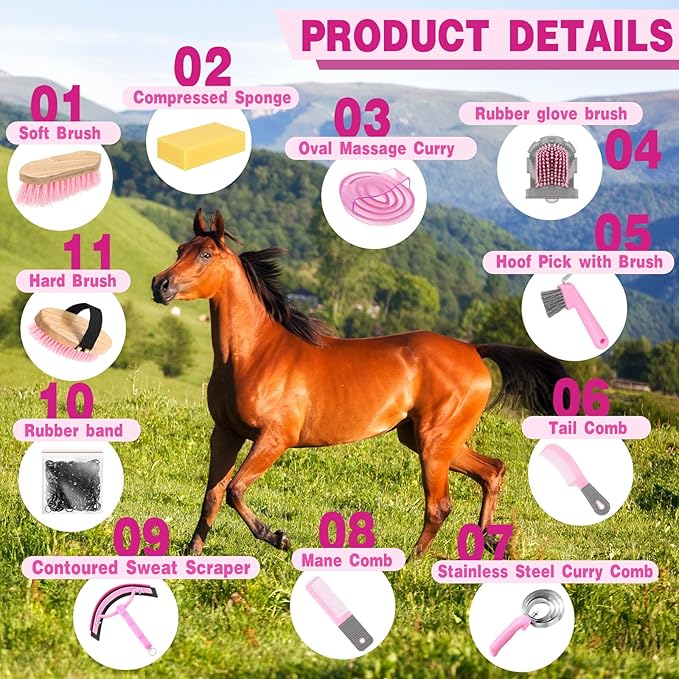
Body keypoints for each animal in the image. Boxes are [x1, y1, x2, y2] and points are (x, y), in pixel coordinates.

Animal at [151, 209, 566, 557]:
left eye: (206, 255)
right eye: (180, 249)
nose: (160, 284)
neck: (255, 354)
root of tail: (472, 349)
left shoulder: (274, 438)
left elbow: (235, 490)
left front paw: (278, 537)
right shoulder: (225, 432)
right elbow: (213, 494)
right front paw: (192, 553)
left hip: (434, 442)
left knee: (439, 506)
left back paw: (413, 562)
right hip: (430, 439)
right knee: (492, 471)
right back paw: (489, 543)